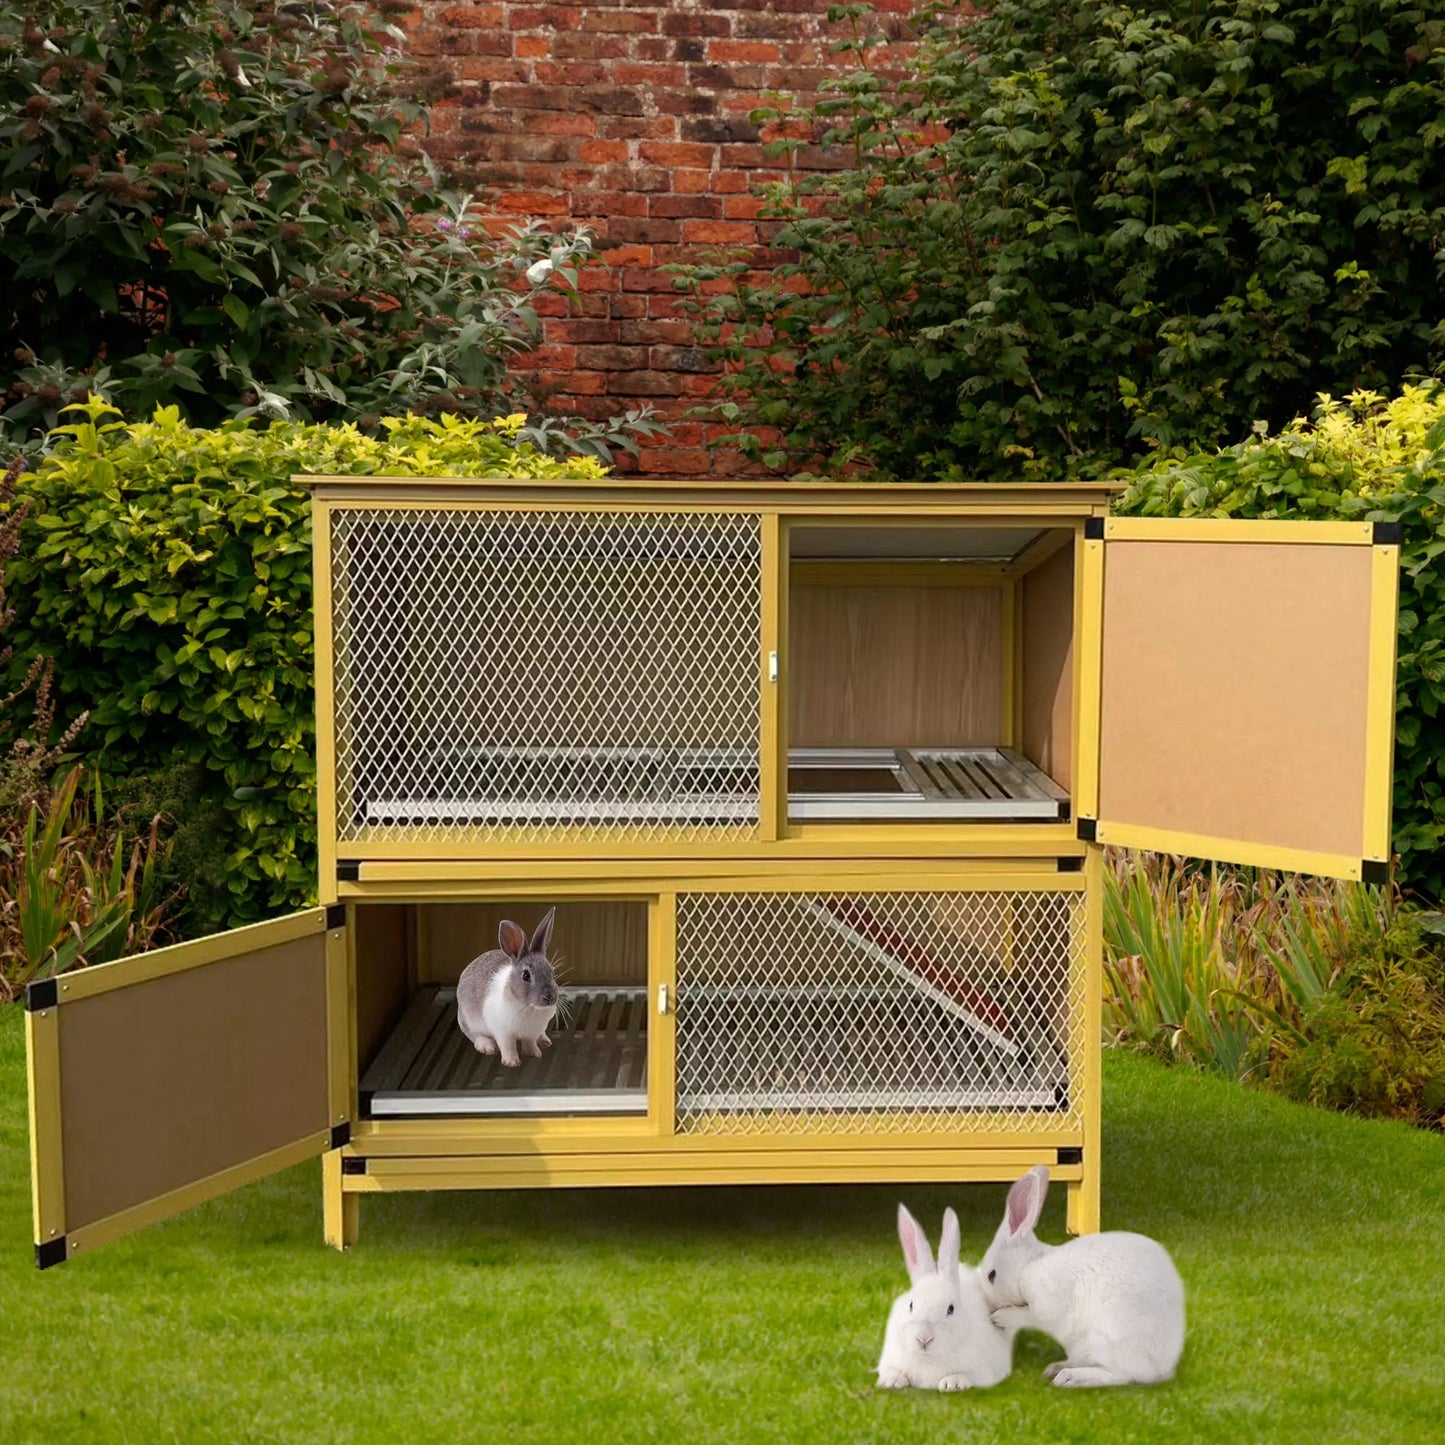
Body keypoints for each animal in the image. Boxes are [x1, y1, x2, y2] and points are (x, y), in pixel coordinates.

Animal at [456, 907, 557, 1069]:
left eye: (552, 972)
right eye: (526, 976)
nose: (550, 997)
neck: (528, 1007)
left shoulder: (531, 1033)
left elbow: (529, 1044)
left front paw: (535, 1054)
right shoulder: (503, 1033)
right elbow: (508, 1047)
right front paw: (511, 1062)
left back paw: (544, 1041)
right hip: (468, 1021)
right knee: (474, 1035)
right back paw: (487, 1046)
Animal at [867, 1202, 1017, 1392]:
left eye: (950, 1309)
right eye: (911, 1305)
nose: (924, 1339)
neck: (929, 1358)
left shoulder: (982, 1373)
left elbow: (967, 1376)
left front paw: (952, 1383)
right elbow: (891, 1370)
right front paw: (891, 1381)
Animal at [971, 1161, 1184, 1387]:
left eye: (992, 1275)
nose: (988, 1305)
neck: (1028, 1266)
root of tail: (1162, 1367)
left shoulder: (1044, 1302)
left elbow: (1027, 1315)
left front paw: (999, 1317)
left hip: (1107, 1341)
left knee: (1124, 1374)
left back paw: (1070, 1377)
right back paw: (1056, 1368)